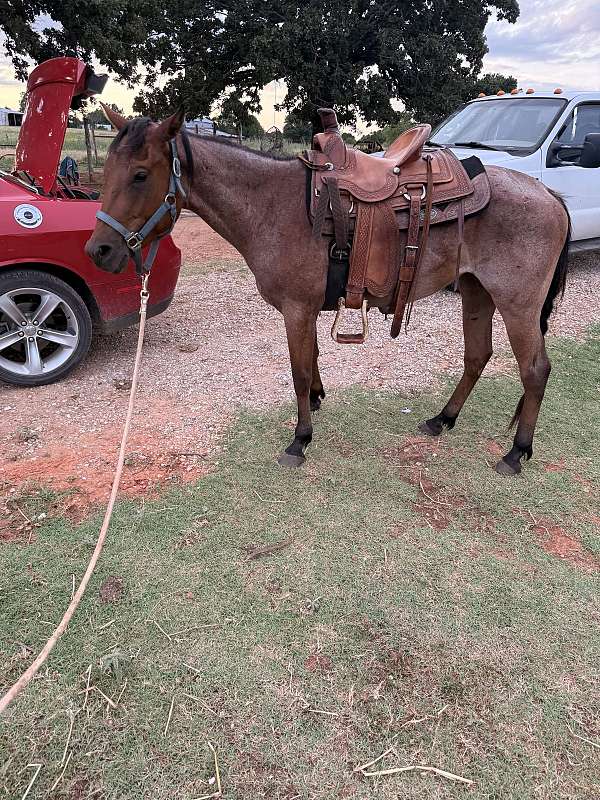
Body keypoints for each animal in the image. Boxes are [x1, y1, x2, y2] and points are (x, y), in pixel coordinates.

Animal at [85, 107, 570, 476]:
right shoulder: (305, 309)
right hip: (476, 292)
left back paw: (517, 451)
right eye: (108, 172)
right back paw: (443, 419)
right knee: (477, 356)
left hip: (518, 305)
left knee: (536, 370)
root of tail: (547, 192)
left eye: (140, 175)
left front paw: (300, 439)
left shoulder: (296, 308)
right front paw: (317, 401)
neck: (272, 205)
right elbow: (312, 359)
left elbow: (298, 371)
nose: (98, 251)